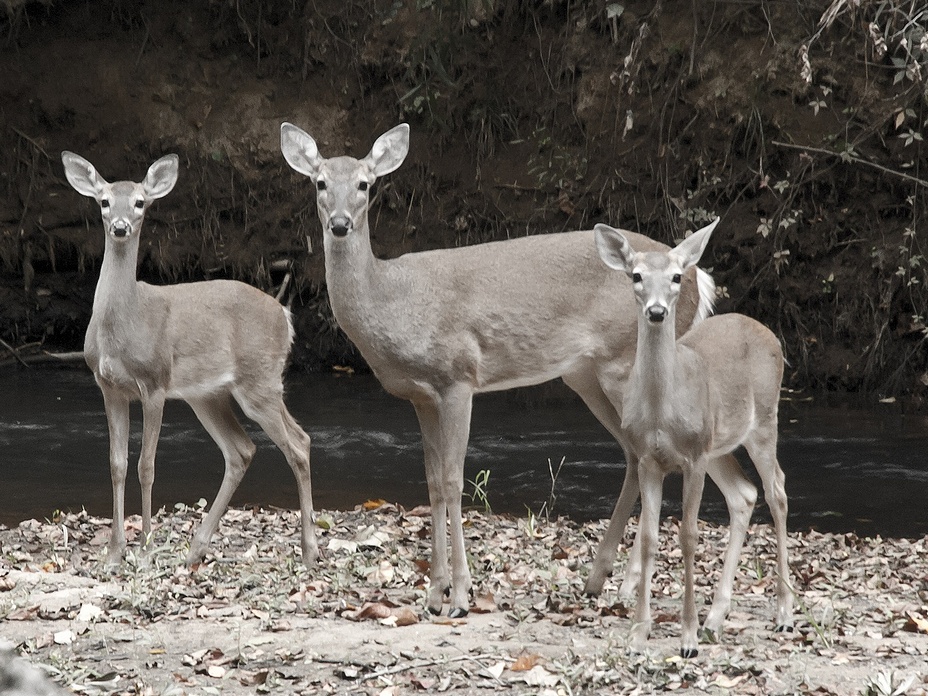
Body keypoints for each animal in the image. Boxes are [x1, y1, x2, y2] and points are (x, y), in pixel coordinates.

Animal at [61, 150, 318, 568]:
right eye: (104, 201)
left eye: (140, 202)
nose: (120, 227)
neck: (125, 322)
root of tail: (284, 314)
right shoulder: (108, 386)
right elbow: (116, 464)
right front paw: (115, 551)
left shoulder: (154, 381)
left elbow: (146, 466)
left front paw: (146, 547)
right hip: (209, 395)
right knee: (244, 449)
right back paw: (197, 546)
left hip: (260, 380)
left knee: (297, 444)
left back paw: (309, 550)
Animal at [276, 121, 760, 620]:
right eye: (319, 183)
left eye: (364, 185)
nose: (339, 224)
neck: (393, 300)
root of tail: (699, 278)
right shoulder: (420, 395)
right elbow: (431, 483)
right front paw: (434, 591)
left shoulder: (459, 376)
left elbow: (453, 480)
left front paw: (461, 595)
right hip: (584, 374)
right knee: (633, 453)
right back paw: (599, 579)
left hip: (624, 363)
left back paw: (627, 586)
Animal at [596, 219, 792, 656]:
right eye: (635, 276)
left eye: (675, 276)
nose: (656, 312)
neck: (661, 412)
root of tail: (771, 335)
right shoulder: (649, 459)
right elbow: (649, 538)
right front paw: (639, 633)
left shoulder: (693, 458)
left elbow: (689, 536)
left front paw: (686, 637)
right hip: (718, 443)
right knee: (744, 494)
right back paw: (715, 618)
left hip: (763, 419)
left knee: (777, 491)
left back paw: (784, 613)